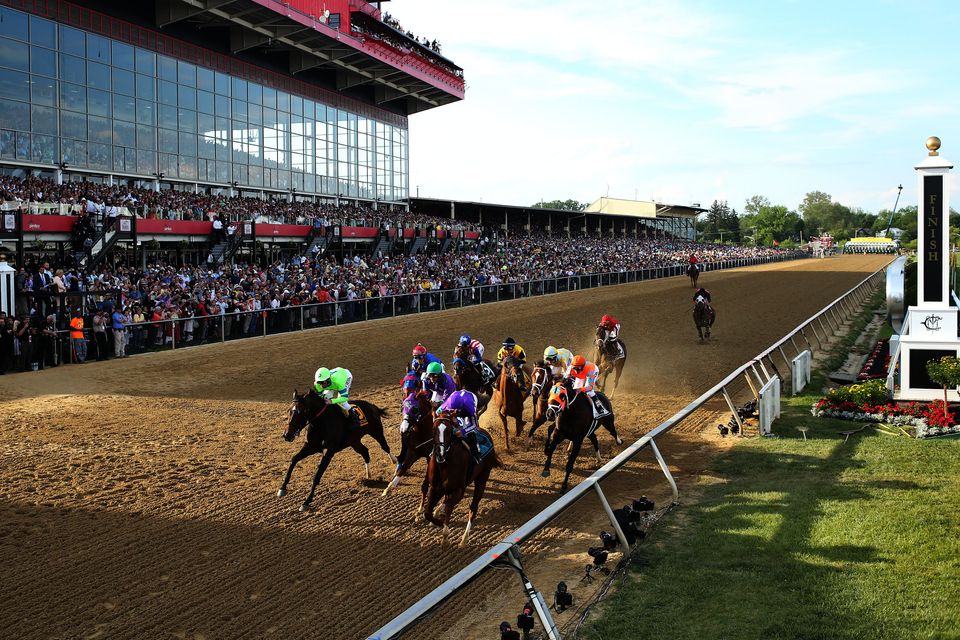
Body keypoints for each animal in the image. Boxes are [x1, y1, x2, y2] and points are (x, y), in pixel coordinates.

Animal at [418, 416, 502, 544]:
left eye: (448, 431)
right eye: (433, 430)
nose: (440, 453)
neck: (444, 465)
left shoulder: (459, 490)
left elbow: (449, 508)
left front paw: (445, 534)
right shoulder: (435, 488)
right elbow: (427, 512)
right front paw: (437, 520)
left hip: (482, 478)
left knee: (473, 508)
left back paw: (464, 539)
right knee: (446, 500)